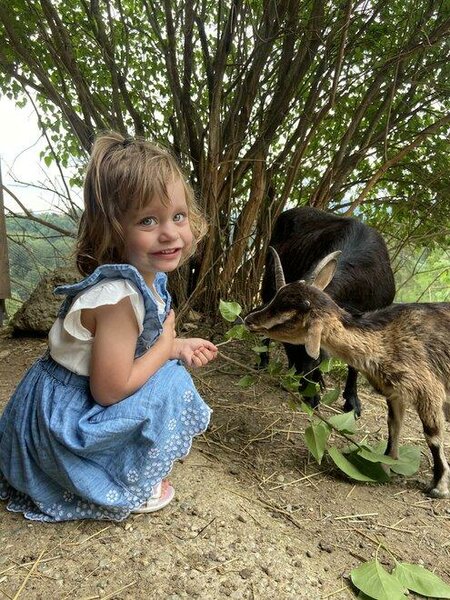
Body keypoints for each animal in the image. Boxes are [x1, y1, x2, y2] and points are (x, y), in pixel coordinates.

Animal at [246, 247, 450, 496]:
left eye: (290, 316)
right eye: (277, 297)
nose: (249, 319)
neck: (387, 337)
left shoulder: (428, 390)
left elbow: (433, 436)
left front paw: (439, 487)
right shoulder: (395, 393)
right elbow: (394, 427)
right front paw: (385, 465)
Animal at [260, 204, 394, 414]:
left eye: (315, 355)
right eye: (288, 347)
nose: (307, 395)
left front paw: (352, 401)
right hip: (267, 283)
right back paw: (264, 362)